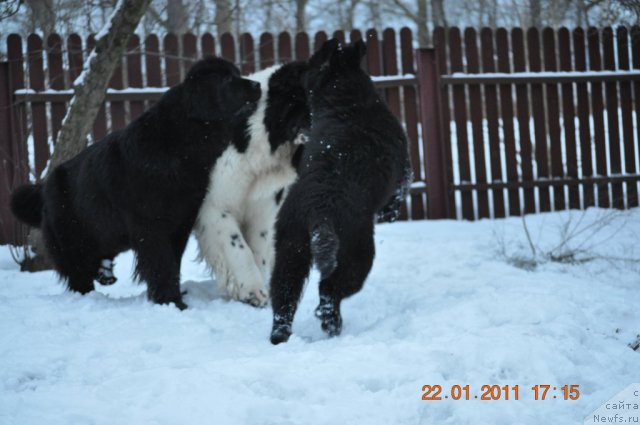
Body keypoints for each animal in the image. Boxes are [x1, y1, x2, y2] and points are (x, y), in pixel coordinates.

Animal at [10, 56, 260, 308]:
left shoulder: (180, 224)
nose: (257, 84)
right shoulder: (151, 227)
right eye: (227, 79)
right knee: (79, 275)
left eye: (236, 73)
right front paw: (172, 303)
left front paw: (174, 298)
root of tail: (43, 188)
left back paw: (105, 273)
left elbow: (173, 264)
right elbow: (162, 266)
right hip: (74, 242)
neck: (179, 144)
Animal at [268, 40, 412, 344]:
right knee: (329, 290)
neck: (347, 102)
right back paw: (331, 322)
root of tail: (319, 210)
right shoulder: (405, 171)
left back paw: (280, 336)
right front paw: (391, 214)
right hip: (357, 253)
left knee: (284, 297)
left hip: (290, 249)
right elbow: (399, 193)